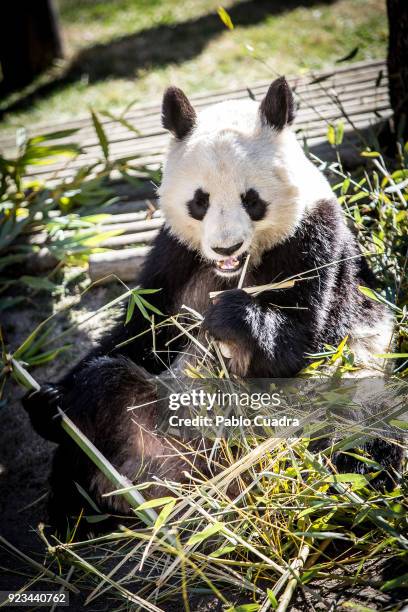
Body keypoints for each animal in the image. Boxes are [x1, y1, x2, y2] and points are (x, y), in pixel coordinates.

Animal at [23, 75, 402, 524]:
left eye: (251, 200)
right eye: (199, 200)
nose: (225, 247)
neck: (234, 269)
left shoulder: (315, 240)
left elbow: (305, 339)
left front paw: (232, 319)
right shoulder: (175, 254)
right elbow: (142, 331)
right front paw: (46, 401)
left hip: (336, 397)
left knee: (360, 436)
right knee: (101, 394)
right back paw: (75, 513)